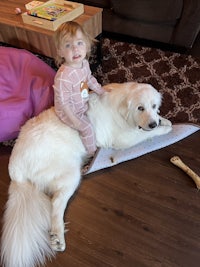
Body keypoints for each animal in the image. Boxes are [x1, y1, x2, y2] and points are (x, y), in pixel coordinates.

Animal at [0, 82, 172, 266]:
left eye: (153, 106)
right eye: (140, 108)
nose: (153, 123)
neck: (121, 107)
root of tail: (15, 169)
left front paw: (164, 120)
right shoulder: (123, 139)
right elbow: (146, 134)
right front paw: (164, 129)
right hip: (71, 174)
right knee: (56, 203)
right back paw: (58, 236)